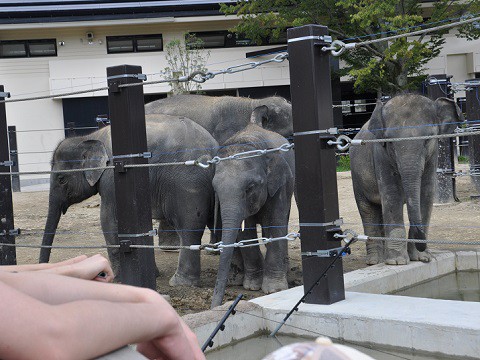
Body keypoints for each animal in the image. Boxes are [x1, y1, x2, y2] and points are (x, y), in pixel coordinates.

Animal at [39, 114, 218, 286]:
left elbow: (109, 219)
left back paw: (180, 283)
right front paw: (152, 275)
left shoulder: (112, 178)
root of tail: (212, 152)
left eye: (61, 179)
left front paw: (119, 279)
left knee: (189, 228)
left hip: (187, 184)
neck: (90, 137)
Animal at [211, 105, 296, 308]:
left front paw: (273, 289)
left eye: (250, 188)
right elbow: (245, 230)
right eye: (215, 188)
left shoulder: (280, 183)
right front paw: (252, 286)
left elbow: (276, 223)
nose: (215, 305)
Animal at [350, 94, 464, 266]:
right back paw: (375, 261)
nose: (422, 244)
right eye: (390, 142)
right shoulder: (380, 154)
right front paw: (397, 262)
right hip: (357, 178)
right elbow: (392, 196)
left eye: (427, 140)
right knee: (368, 210)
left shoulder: (433, 156)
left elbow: (426, 195)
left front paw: (422, 258)